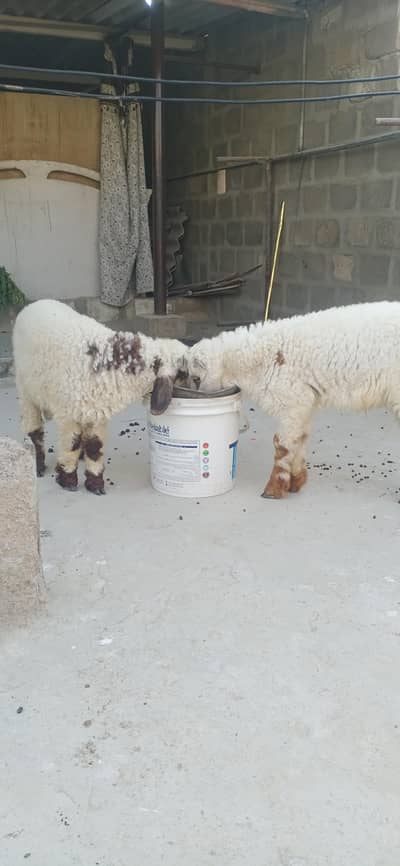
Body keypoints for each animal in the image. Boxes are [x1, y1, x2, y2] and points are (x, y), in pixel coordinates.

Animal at [13, 299, 187, 495]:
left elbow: (94, 446)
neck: (107, 361)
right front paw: (68, 480)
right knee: (34, 430)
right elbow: (72, 444)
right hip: (25, 389)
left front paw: (95, 483)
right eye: (185, 372)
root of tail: (36, 303)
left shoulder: (96, 412)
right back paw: (38, 465)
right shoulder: (68, 413)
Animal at [186, 301, 400, 499]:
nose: (195, 396)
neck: (262, 356)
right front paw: (296, 480)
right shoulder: (303, 402)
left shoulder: (291, 401)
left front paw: (273, 489)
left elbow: (282, 444)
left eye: (195, 378)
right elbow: (300, 439)